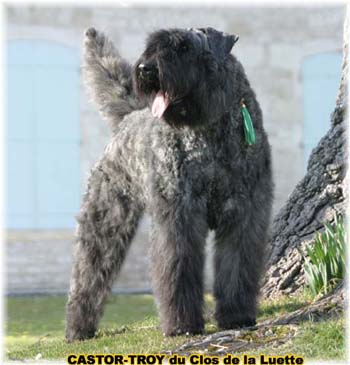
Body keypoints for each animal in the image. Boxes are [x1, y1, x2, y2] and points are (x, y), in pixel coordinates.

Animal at [65, 26, 274, 342]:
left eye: (185, 47)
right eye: (153, 44)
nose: (145, 69)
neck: (209, 132)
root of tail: (128, 118)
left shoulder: (243, 214)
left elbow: (237, 267)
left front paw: (237, 316)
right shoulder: (179, 217)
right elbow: (178, 269)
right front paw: (182, 325)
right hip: (105, 221)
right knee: (88, 273)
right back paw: (77, 329)